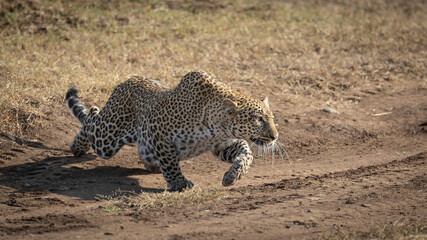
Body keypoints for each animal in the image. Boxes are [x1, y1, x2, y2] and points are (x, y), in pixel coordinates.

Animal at [65, 71, 280, 191]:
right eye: (258, 119)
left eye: (271, 118)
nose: (275, 136)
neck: (218, 125)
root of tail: (127, 81)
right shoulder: (159, 133)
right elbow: (170, 162)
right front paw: (179, 183)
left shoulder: (223, 144)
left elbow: (247, 154)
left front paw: (232, 176)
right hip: (107, 138)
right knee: (92, 117)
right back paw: (77, 147)